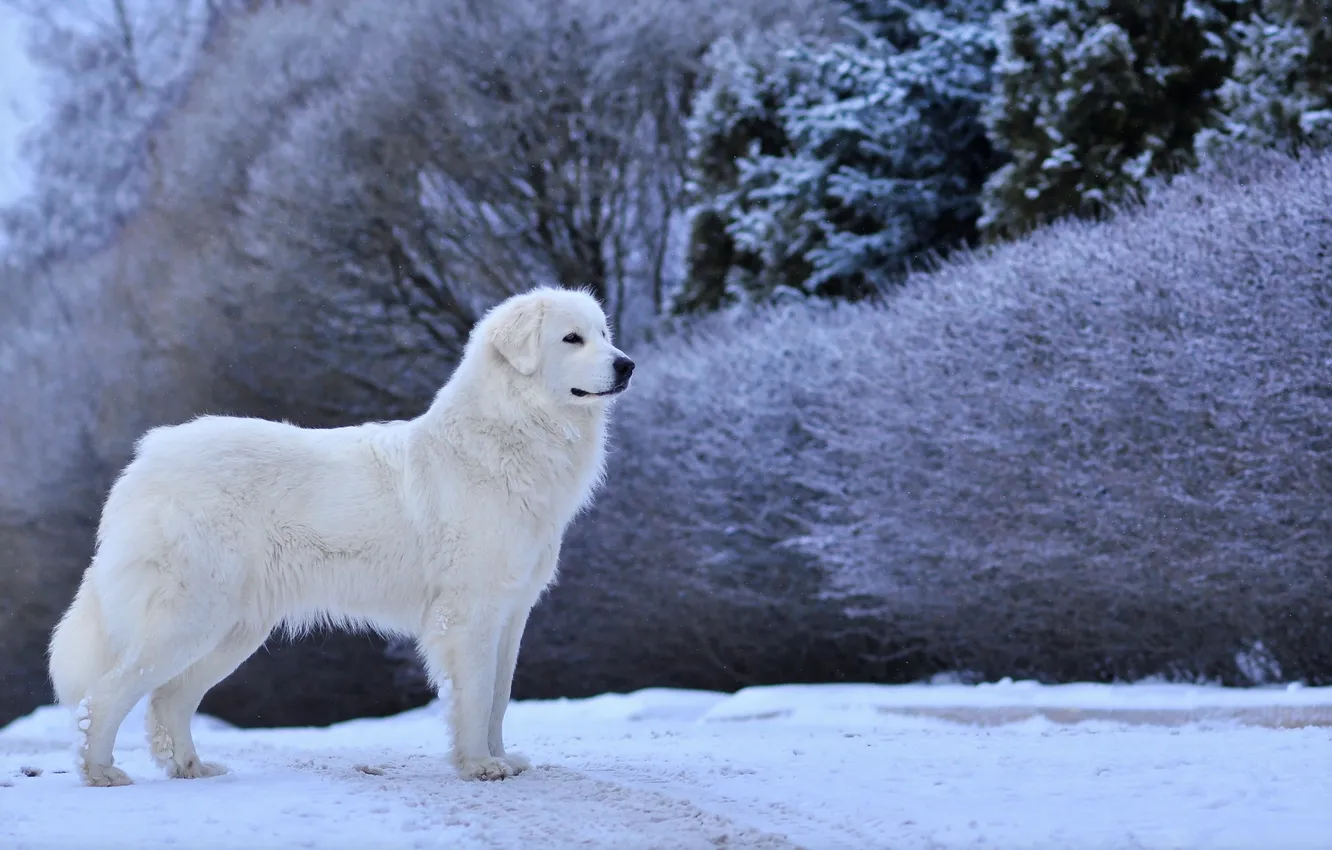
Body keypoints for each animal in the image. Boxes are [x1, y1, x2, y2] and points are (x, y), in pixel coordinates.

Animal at [49, 286, 631, 788]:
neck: (510, 435)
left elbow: (499, 698)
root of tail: (145, 460)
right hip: (188, 620)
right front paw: (478, 766)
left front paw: (502, 758)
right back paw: (101, 772)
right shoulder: (470, 615)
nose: (627, 364)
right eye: (571, 338)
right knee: (104, 696)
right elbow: (475, 697)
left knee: (168, 700)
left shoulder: (511, 614)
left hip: (231, 631)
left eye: (603, 333)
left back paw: (193, 769)